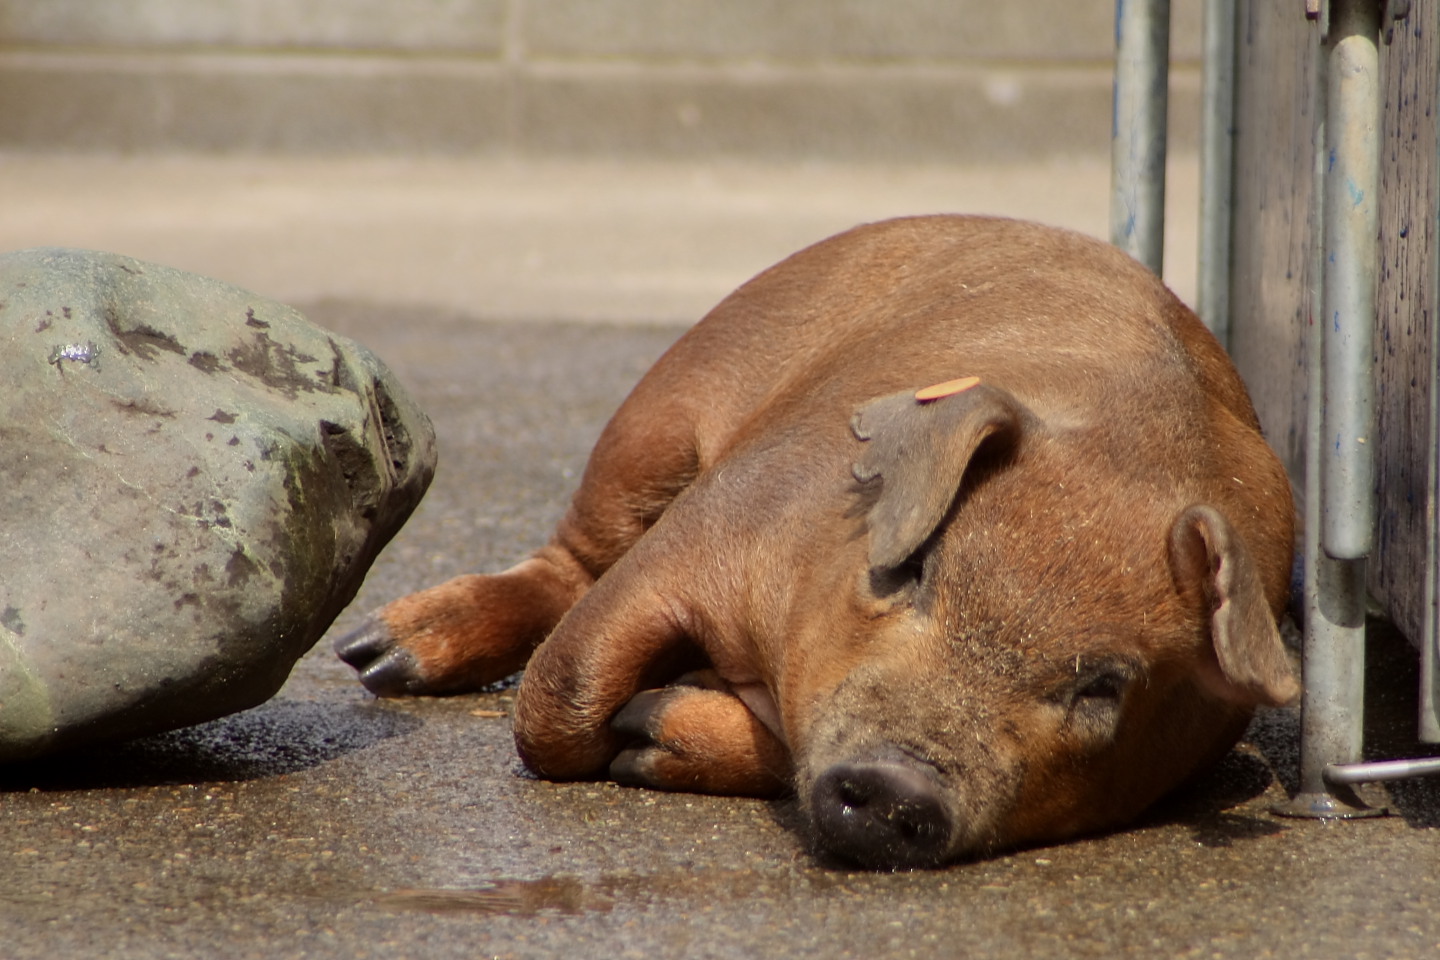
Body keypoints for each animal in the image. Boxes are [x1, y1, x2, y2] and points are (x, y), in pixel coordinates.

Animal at [334, 217, 1296, 869]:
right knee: (567, 566)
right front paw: (629, 719)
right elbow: (562, 697)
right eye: (912, 570)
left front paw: (651, 724)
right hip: (659, 411)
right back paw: (379, 655)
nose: (900, 782)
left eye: (1103, 686)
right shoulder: (723, 522)